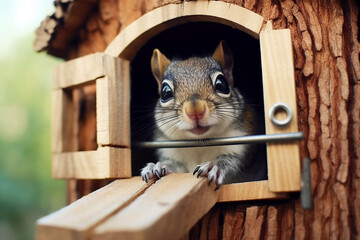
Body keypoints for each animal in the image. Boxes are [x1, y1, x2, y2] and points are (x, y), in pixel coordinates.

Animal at [141, 40, 268, 188]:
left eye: (222, 84)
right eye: (165, 92)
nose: (195, 110)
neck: (200, 143)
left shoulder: (241, 144)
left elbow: (232, 164)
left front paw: (213, 167)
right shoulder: (171, 150)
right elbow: (175, 167)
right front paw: (157, 166)